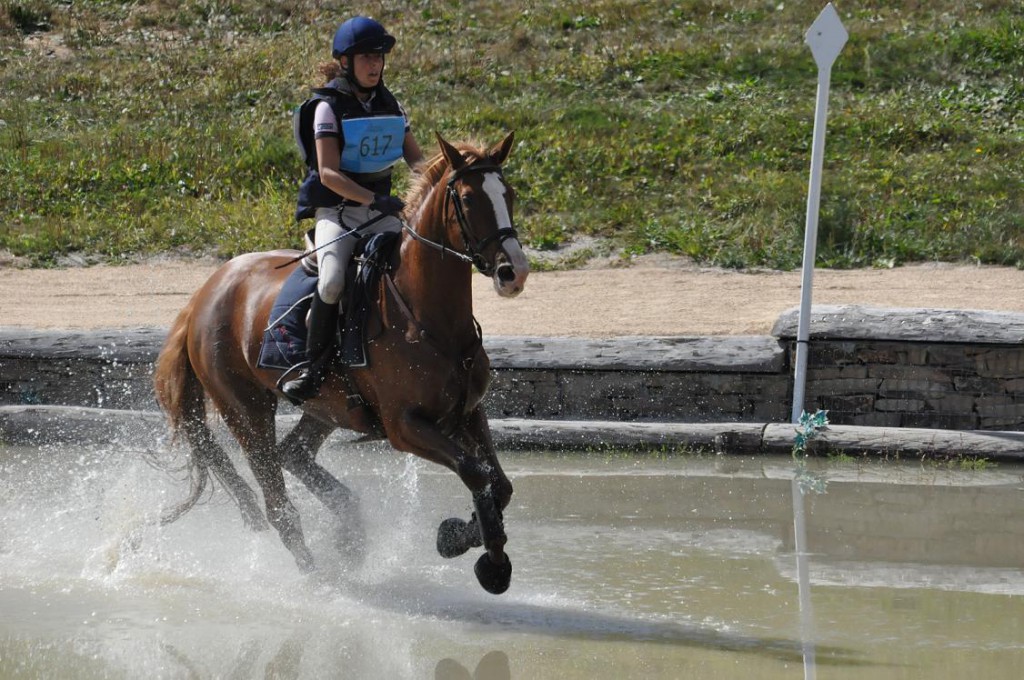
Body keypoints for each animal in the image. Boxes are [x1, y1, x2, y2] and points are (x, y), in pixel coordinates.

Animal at [157, 131, 536, 589]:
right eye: (466, 198)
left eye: (508, 194)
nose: (513, 273)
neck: (431, 319)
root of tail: (201, 296)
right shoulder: (405, 426)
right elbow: (475, 472)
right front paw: (491, 564)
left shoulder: (466, 413)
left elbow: (499, 484)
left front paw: (461, 538)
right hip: (245, 409)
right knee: (278, 502)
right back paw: (316, 576)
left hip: (328, 407)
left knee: (294, 454)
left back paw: (348, 531)